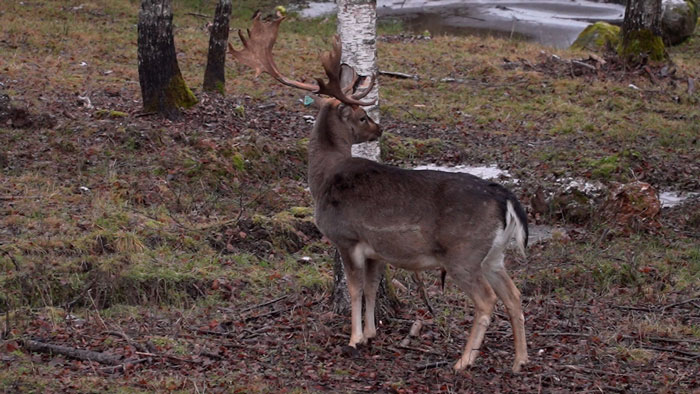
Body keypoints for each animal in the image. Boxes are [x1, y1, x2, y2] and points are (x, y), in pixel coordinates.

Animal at [230, 13, 532, 374]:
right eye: (362, 117)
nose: (379, 129)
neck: (323, 177)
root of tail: (506, 199)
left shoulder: (346, 236)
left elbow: (355, 288)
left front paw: (354, 338)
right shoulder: (375, 249)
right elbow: (372, 288)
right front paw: (372, 332)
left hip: (463, 253)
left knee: (487, 300)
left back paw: (463, 360)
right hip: (493, 255)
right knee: (514, 295)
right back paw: (520, 360)